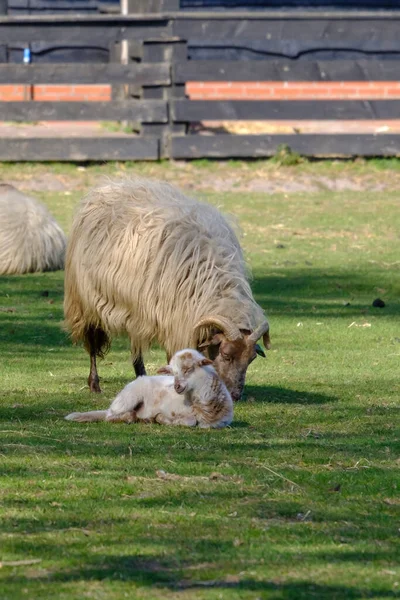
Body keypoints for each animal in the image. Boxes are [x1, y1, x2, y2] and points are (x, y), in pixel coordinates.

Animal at [65, 178, 268, 404]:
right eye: (226, 355)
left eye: (251, 359)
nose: (235, 396)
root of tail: (108, 187)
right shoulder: (173, 320)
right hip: (86, 301)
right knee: (92, 342)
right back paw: (94, 384)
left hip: (135, 311)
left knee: (136, 346)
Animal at [65, 350, 234, 428]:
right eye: (173, 373)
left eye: (188, 369)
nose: (176, 386)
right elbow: (190, 421)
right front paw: (162, 419)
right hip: (128, 398)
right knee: (110, 416)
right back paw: (132, 417)